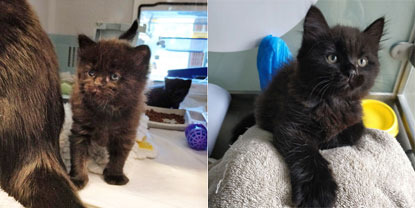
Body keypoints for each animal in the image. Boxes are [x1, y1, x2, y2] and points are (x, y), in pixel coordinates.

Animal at [70, 20, 151, 188]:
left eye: (114, 76)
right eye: (91, 73)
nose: (98, 84)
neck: (106, 110)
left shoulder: (126, 131)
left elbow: (120, 155)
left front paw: (115, 175)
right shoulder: (81, 128)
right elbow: (78, 154)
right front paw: (77, 178)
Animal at [232, 5, 386, 207]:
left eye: (362, 61)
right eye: (332, 58)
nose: (351, 72)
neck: (332, 102)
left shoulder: (356, 120)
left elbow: (352, 134)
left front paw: (327, 140)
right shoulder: (291, 125)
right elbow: (306, 153)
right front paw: (317, 192)